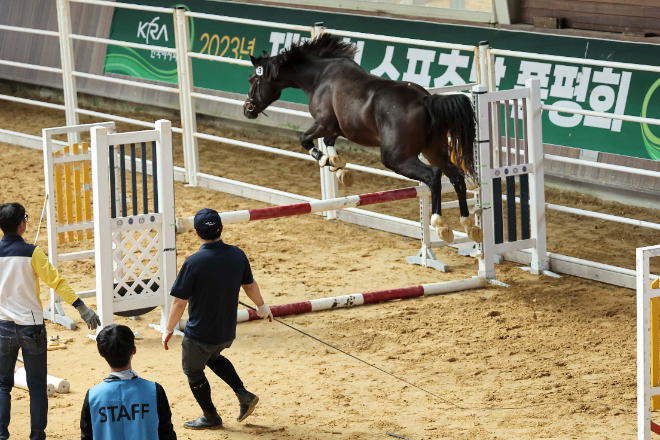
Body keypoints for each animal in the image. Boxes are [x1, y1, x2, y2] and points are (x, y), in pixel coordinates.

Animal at [243, 34, 481, 244]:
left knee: (433, 175)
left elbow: (305, 140)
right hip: (434, 151)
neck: (319, 77)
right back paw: (469, 225)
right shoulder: (339, 128)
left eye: (253, 78)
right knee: (456, 176)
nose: (248, 109)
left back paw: (440, 224)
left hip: (397, 158)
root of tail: (425, 99)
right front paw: (340, 169)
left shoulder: (323, 123)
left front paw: (327, 161)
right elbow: (329, 143)